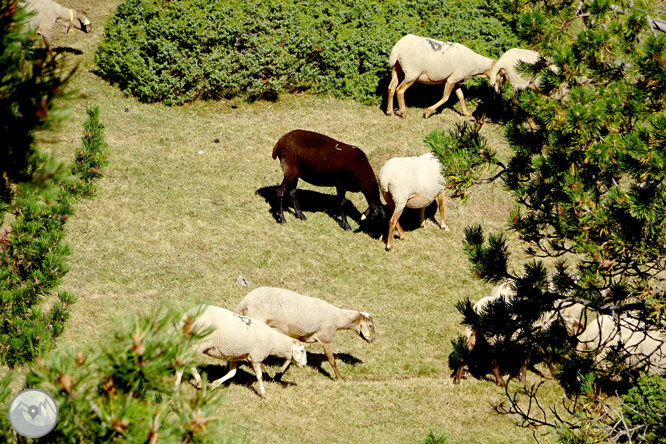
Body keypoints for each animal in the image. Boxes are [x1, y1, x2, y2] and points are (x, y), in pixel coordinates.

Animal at [171, 306, 306, 398]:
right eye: (302, 350)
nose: (304, 365)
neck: (273, 340)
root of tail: (186, 316)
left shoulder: (235, 355)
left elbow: (232, 373)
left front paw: (213, 385)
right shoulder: (256, 356)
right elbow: (260, 377)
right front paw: (264, 394)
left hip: (193, 342)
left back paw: (198, 381)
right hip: (200, 341)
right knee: (184, 361)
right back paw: (176, 388)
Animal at [236, 288, 376, 382]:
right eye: (370, 325)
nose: (374, 338)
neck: (338, 318)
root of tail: (245, 301)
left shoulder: (300, 337)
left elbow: (291, 358)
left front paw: (279, 373)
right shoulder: (326, 338)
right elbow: (332, 361)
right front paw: (340, 378)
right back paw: (264, 374)